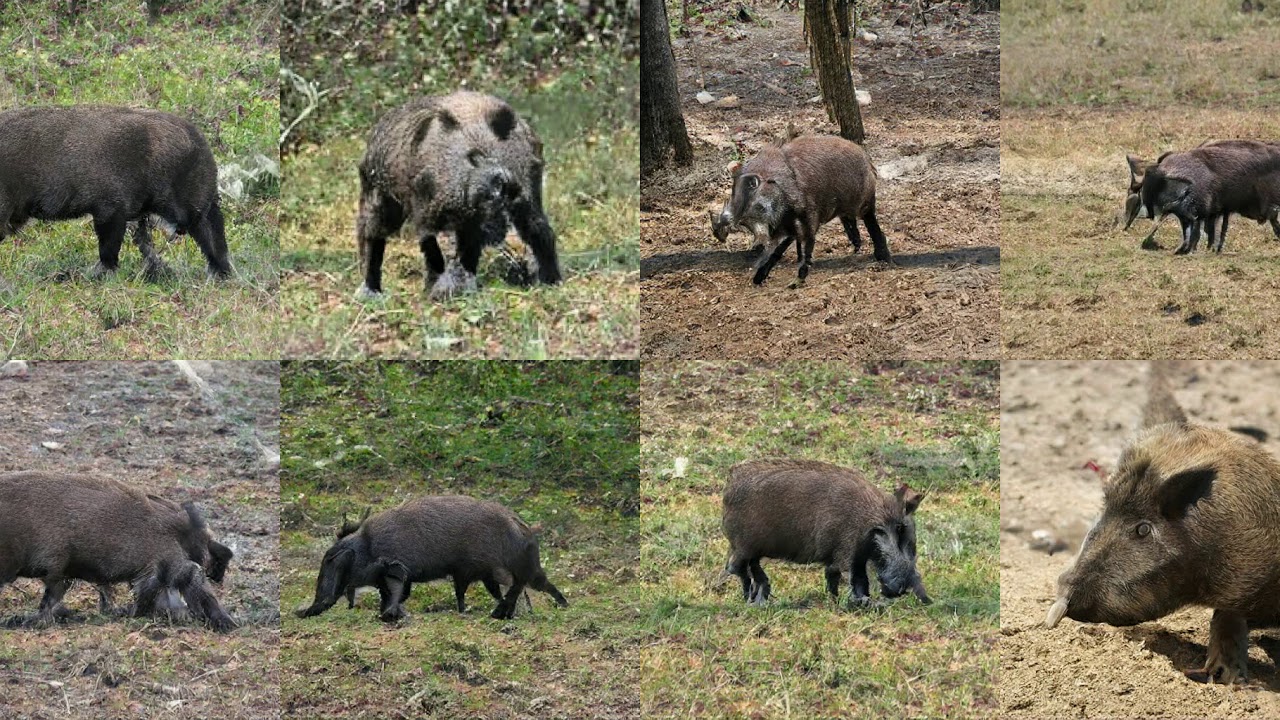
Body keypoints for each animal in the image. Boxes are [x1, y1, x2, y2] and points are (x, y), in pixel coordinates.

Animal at [295, 495, 568, 622]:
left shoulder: (401, 569)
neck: (368, 547)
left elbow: (397, 593)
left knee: (521, 587)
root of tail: (523, 529)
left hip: (510, 570)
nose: (302, 611)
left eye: (330, 561)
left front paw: (390, 615)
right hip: (512, 572)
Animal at [354, 91, 560, 301]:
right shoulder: (428, 213)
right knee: (370, 234)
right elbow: (434, 248)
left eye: (507, 192)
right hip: (382, 202)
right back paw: (371, 292)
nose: (513, 243)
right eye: (474, 157)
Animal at [711, 133, 888, 285]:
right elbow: (779, 250)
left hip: (864, 203)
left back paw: (883, 256)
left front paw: (799, 277)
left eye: (757, 206)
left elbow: (807, 244)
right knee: (850, 223)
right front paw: (759, 276)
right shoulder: (787, 225)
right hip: (845, 209)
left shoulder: (808, 217)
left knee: (872, 224)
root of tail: (867, 161)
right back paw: (858, 247)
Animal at [722, 459, 930, 606]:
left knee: (750, 570)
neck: (871, 520)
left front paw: (836, 601)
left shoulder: (839, 559)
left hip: (751, 550)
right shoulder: (847, 554)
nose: (900, 590)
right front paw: (865, 603)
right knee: (735, 568)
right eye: (899, 530)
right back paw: (752, 599)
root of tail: (731, 479)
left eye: (912, 542)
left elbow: (834, 578)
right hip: (743, 547)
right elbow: (856, 581)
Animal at [1123, 140, 1280, 254]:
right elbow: (1202, 232)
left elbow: (1199, 232)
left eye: (1135, 199)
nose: (1125, 225)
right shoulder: (1203, 213)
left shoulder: (1197, 210)